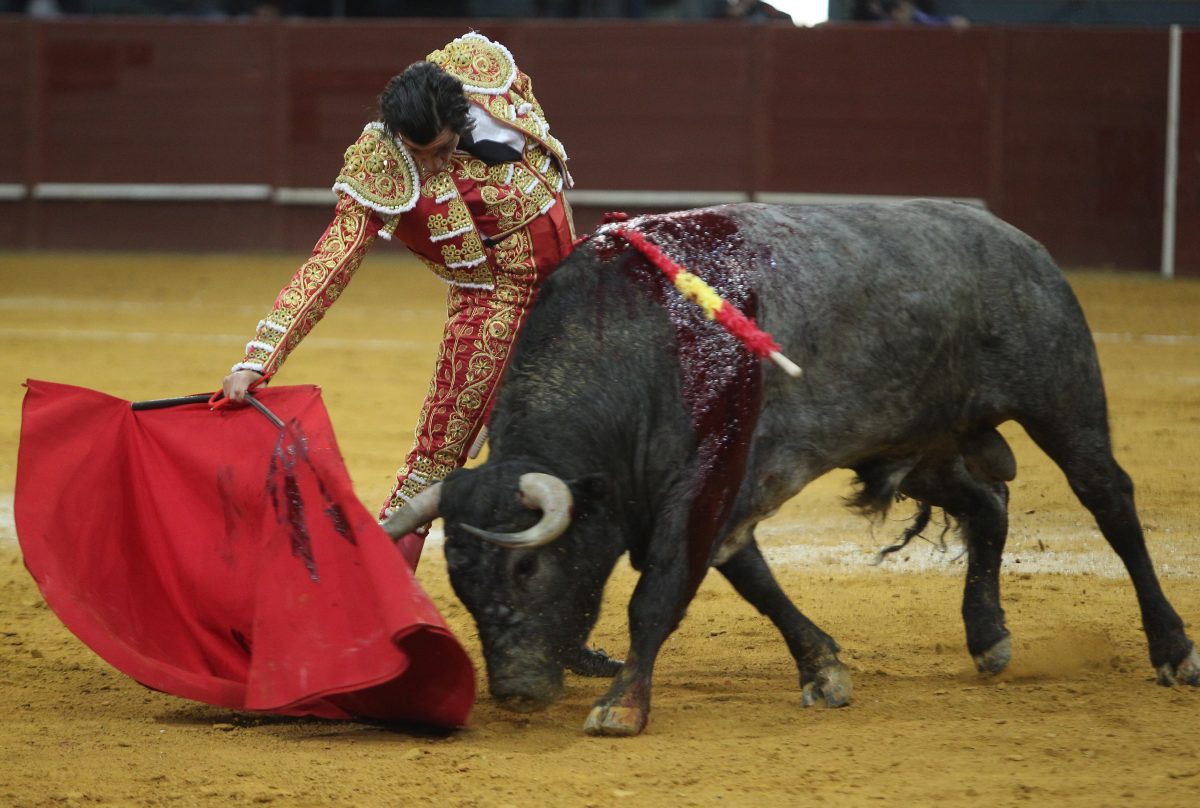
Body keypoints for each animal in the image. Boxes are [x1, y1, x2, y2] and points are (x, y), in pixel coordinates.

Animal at [381, 198, 1200, 734]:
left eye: (527, 568)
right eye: (460, 581)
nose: (516, 690)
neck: (633, 341)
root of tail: (1019, 239)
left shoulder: (706, 478)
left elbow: (660, 590)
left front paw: (622, 704)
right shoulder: (731, 489)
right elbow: (753, 579)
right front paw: (824, 670)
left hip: (1063, 403)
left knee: (1111, 504)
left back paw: (1173, 651)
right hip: (922, 440)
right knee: (987, 505)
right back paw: (988, 636)